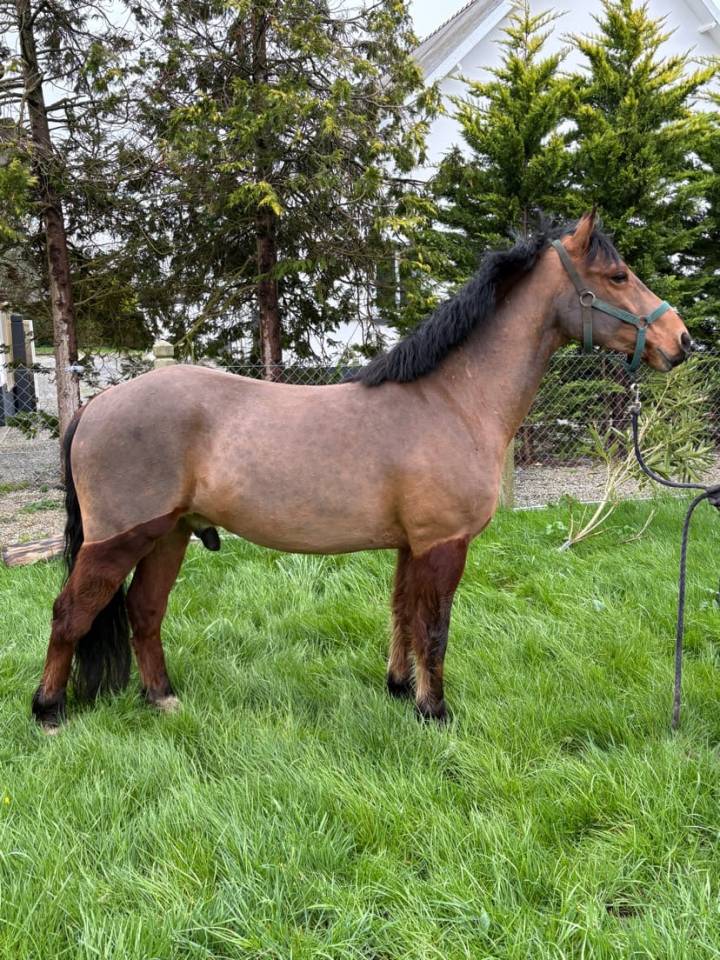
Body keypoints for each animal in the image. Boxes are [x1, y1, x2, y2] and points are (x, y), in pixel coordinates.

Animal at [31, 212, 692, 730]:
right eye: (617, 276)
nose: (680, 339)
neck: (450, 401)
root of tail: (95, 405)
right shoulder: (443, 545)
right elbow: (434, 627)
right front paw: (434, 711)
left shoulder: (410, 546)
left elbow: (401, 613)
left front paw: (399, 689)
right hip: (120, 540)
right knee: (70, 613)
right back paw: (48, 712)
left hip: (169, 535)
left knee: (144, 612)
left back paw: (163, 700)